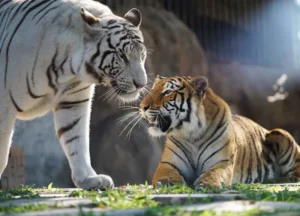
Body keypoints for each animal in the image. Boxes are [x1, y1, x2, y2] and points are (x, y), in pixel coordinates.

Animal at [0, 0, 148, 189]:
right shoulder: (4, 105)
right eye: (122, 56)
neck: (68, 69)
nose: (141, 84)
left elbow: (77, 139)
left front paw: (89, 179)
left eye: (142, 55)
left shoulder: (73, 102)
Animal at [139, 75, 300, 188]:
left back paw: (282, 179)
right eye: (152, 90)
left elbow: (214, 173)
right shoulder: (168, 164)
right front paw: (168, 183)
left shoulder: (222, 162)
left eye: (167, 92)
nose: (142, 107)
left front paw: (206, 184)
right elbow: (165, 175)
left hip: (279, 133)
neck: (191, 134)